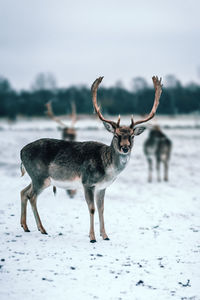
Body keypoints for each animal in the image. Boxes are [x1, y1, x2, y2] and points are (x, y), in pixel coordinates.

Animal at [19, 76, 162, 243]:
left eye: (132, 136)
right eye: (116, 135)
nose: (125, 147)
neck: (107, 169)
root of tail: (21, 152)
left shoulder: (102, 187)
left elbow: (102, 208)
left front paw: (105, 235)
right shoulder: (87, 182)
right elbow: (92, 208)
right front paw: (92, 237)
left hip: (38, 178)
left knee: (23, 191)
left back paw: (25, 226)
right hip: (40, 176)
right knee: (31, 196)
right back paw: (42, 229)